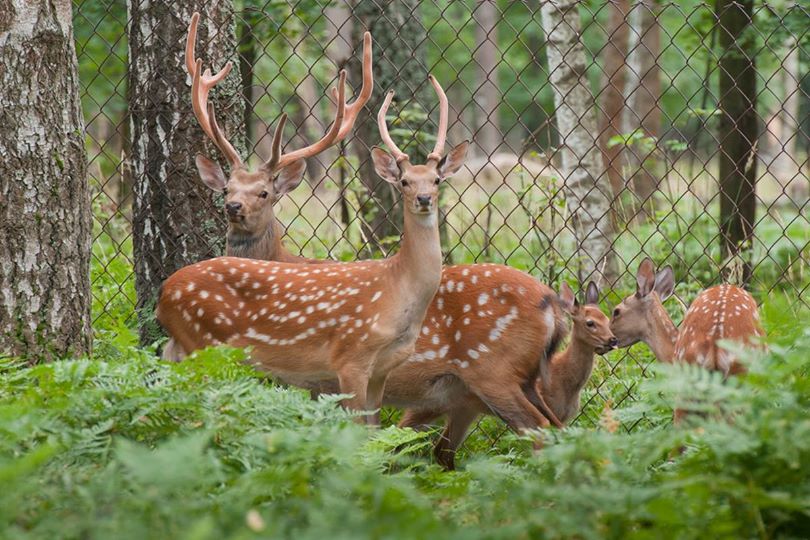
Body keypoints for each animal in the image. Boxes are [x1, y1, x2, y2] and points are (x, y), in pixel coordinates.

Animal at [386, 280, 612, 470]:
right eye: (590, 322)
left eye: (609, 319)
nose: (613, 340)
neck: (566, 382)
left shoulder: (562, 417)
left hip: (462, 408)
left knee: (439, 450)